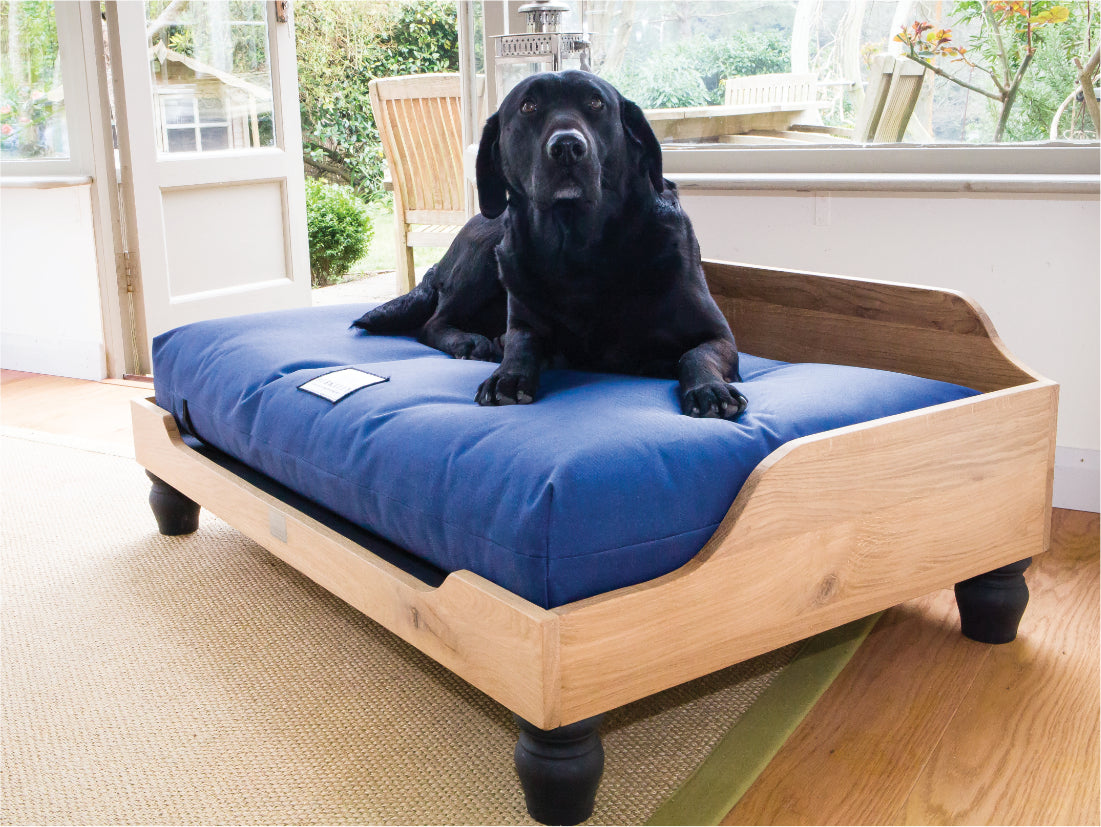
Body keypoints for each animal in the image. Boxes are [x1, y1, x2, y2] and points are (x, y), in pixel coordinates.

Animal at [354, 69, 748, 420]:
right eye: (528, 106)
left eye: (596, 103)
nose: (568, 147)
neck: (578, 250)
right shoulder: (525, 323)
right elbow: (521, 345)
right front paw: (507, 377)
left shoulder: (719, 336)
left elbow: (695, 355)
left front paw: (708, 388)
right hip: (488, 254)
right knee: (433, 322)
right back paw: (470, 342)